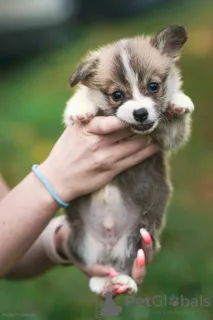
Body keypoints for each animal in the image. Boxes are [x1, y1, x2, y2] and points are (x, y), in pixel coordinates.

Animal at [62, 25, 193, 296]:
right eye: (117, 95)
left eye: (153, 86)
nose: (140, 113)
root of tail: (109, 243)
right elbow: (82, 98)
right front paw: (81, 108)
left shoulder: (166, 140)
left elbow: (176, 125)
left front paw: (179, 100)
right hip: (77, 238)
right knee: (96, 265)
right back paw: (102, 281)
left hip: (140, 234)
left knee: (125, 261)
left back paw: (124, 281)